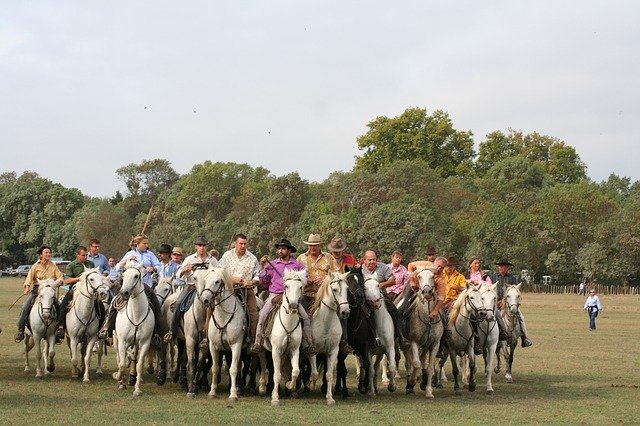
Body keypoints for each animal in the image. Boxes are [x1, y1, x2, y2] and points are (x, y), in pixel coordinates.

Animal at [112, 262, 155, 398]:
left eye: (136, 276)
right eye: (123, 275)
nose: (124, 292)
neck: (136, 315)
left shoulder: (145, 343)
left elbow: (139, 365)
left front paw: (137, 389)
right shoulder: (123, 342)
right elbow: (122, 364)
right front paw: (118, 378)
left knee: (133, 358)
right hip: (116, 340)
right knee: (119, 359)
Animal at [209, 268, 251, 402]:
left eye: (217, 281)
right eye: (206, 279)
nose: (205, 299)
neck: (223, 317)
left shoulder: (236, 345)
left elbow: (233, 369)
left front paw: (233, 395)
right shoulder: (213, 346)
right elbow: (215, 368)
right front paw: (212, 392)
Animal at [262, 270, 308, 406]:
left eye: (300, 287)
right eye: (286, 286)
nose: (293, 306)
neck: (288, 323)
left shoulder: (294, 350)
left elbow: (295, 371)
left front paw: (289, 386)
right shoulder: (276, 351)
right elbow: (276, 374)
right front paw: (275, 398)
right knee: (264, 365)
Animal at [308, 272, 350, 404]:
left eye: (347, 289)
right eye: (335, 289)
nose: (345, 312)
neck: (325, 321)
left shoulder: (333, 351)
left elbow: (329, 374)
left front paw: (330, 398)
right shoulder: (312, 351)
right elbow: (315, 373)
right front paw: (311, 385)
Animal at [402, 266, 442, 400]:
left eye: (433, 276)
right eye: (419, 276)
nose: (426, 291)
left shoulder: (434, 345)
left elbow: (429, 368)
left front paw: (429, 391)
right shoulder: (414, 342)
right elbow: (416, 363)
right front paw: (412, 381)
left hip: (425, 345)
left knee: (422, 359)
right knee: (409, 362)